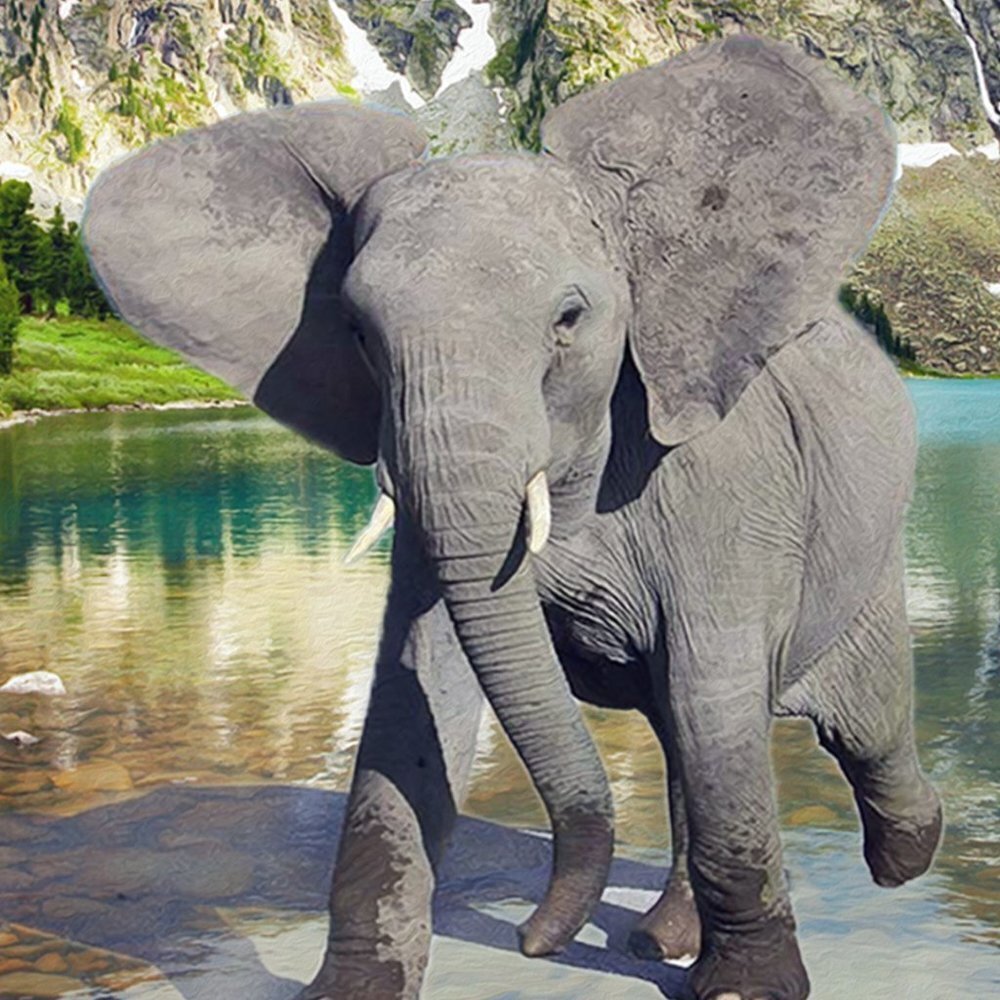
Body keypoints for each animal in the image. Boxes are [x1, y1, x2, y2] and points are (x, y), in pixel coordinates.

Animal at [82, 34, 943, 1000]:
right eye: (357, 331)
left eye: (569, 318)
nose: (535, 940)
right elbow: (416, 699)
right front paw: (354, 989)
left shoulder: (725, 482)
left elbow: (711, 694)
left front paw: (744, 990)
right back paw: (660, 940)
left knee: (854, 723)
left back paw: (907, 857)